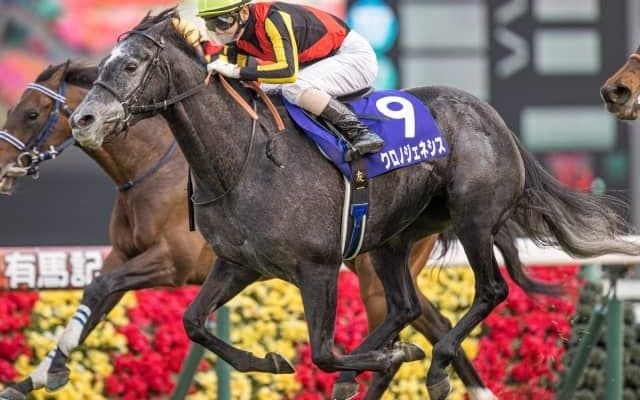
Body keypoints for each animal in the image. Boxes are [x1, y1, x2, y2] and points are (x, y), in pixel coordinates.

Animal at [0, 61, 496, 400]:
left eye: (31, 113)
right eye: (15, 109)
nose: (4, 166)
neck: (151, 169)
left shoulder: (173, 263)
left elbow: (103, 289)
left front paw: (44, 373)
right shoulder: (123, 253)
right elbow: (95, 298)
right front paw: (38, 376)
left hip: (372, 274)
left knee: (410, 323)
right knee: (429, 318)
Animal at [68, 9, 640, 400]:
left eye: (132, 65)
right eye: (101, 68)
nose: (84, 120)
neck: (242, 160)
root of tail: (491, 116)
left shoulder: (316, 267)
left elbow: (322, 352)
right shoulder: (237, 264)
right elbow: (193, 322)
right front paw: (273, 361)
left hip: (473, 218)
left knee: (490, 290)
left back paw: (431, 363)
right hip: (390, 239)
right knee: (407, 306)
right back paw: (386, 356)